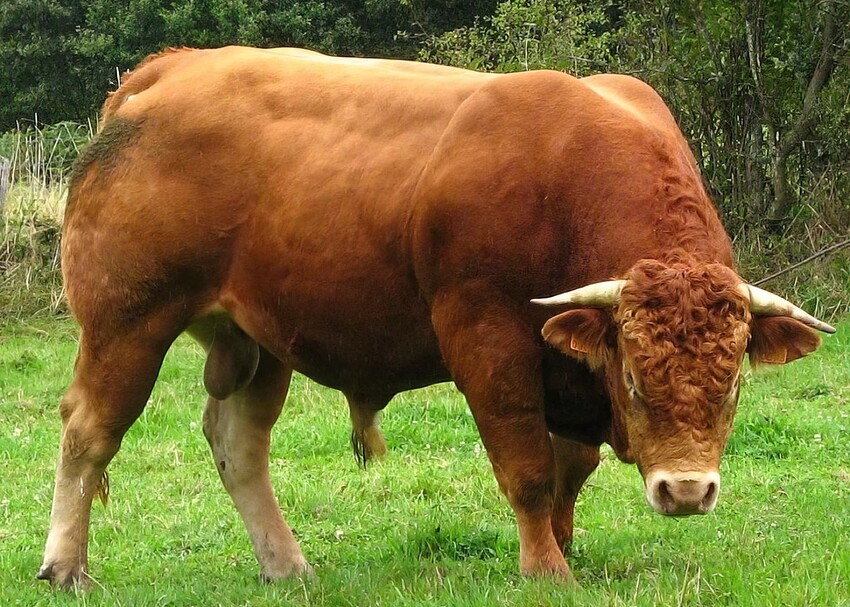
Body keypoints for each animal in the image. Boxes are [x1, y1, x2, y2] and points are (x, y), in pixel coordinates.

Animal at [38, 46, 834, 588]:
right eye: (637, 379)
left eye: (734, 383)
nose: (688, 491)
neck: (568, 178)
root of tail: (171, 70)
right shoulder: (488, 340)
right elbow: (529, 467)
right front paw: (546, 568)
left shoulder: (568, 363)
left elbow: (571, 468)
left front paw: (565, 544)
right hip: (126, 323)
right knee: (88, 431)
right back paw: (65, 565)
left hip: (257, 339)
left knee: (238, 444)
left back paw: (287, 565)